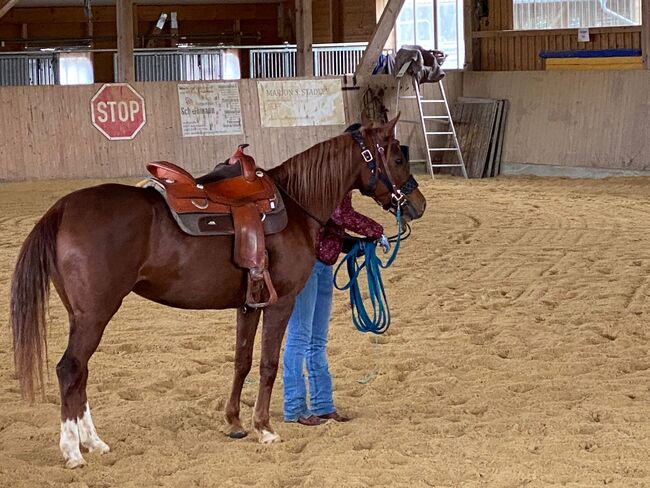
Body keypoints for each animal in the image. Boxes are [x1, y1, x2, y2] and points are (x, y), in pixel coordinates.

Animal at [11, 115, 426, 468]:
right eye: (396, 157)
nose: (418, 204)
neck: (296, 204)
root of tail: (64, 207)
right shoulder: (282, 303)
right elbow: (269, 364)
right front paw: (265, 428)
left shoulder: (249, 304)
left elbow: (242, 360)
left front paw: (235, 422)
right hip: (94, 315)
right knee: (69, 369)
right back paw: (73, 451)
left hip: (81, 316)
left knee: (80, 372)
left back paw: (94, 442)